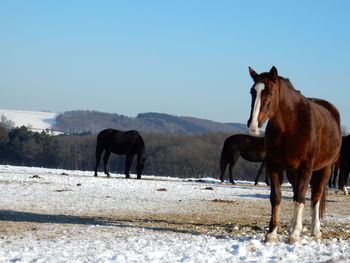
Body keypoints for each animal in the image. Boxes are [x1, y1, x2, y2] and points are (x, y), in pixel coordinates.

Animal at [246, 67, 342, 244]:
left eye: (270, 93)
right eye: (252, 92)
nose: (253, 125)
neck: (291, 126)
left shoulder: (306, 168)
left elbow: (301, 197)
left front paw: (294, 235)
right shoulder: (274, 166)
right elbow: (276, 197)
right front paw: (272, 233)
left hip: (325, 169)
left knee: (315, 196)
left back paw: (315, 230)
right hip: (292, 172)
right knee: (298, 192)